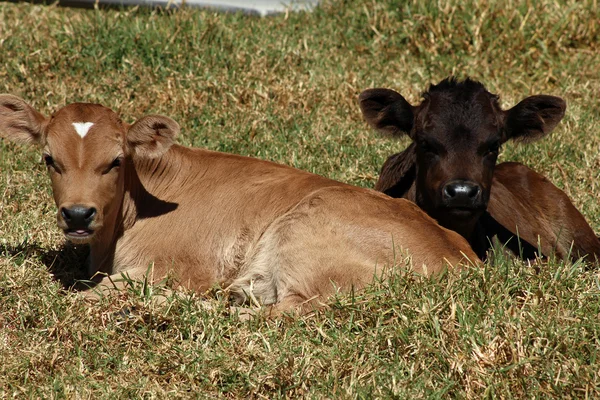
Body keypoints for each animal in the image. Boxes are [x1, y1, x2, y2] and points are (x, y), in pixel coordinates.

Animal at [0, 94, 478, 312]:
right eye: (49, 159)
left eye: (115, 161)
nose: (78, 214)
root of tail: (459, 255)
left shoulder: (177, 266)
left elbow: (91, 296)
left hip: (305, 232)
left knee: (290, 311)